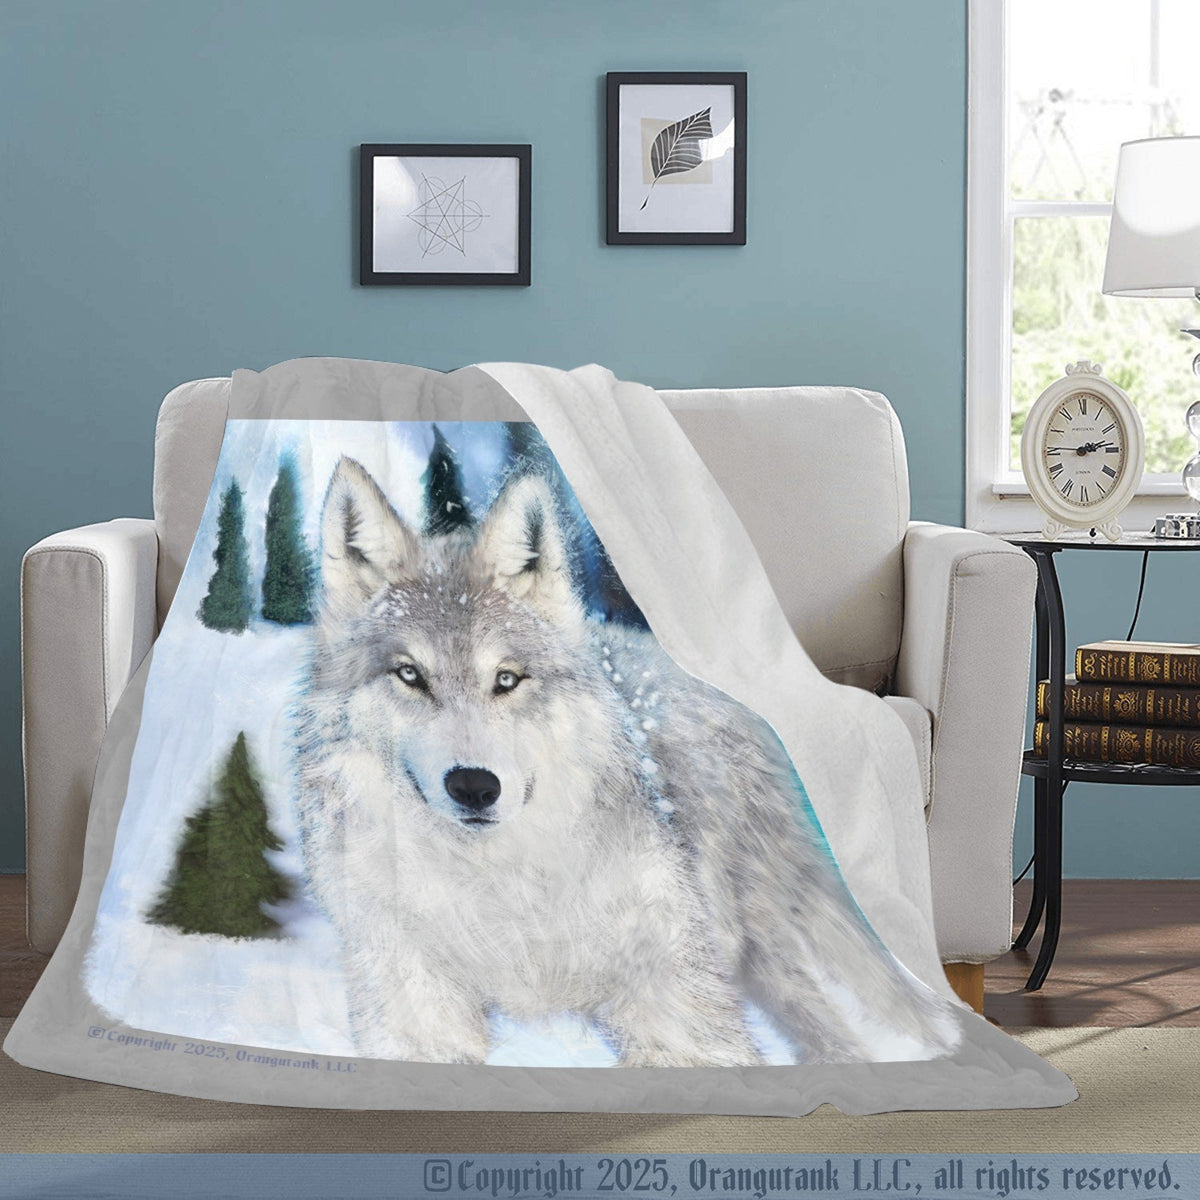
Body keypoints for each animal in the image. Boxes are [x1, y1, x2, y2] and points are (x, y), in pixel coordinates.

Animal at [293, 454, 961, 1066]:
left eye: (506, 679)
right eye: (410, 675)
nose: (475, 786)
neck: (500, 890)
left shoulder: (675, 1008)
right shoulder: (417, 1013)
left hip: (758, 956)